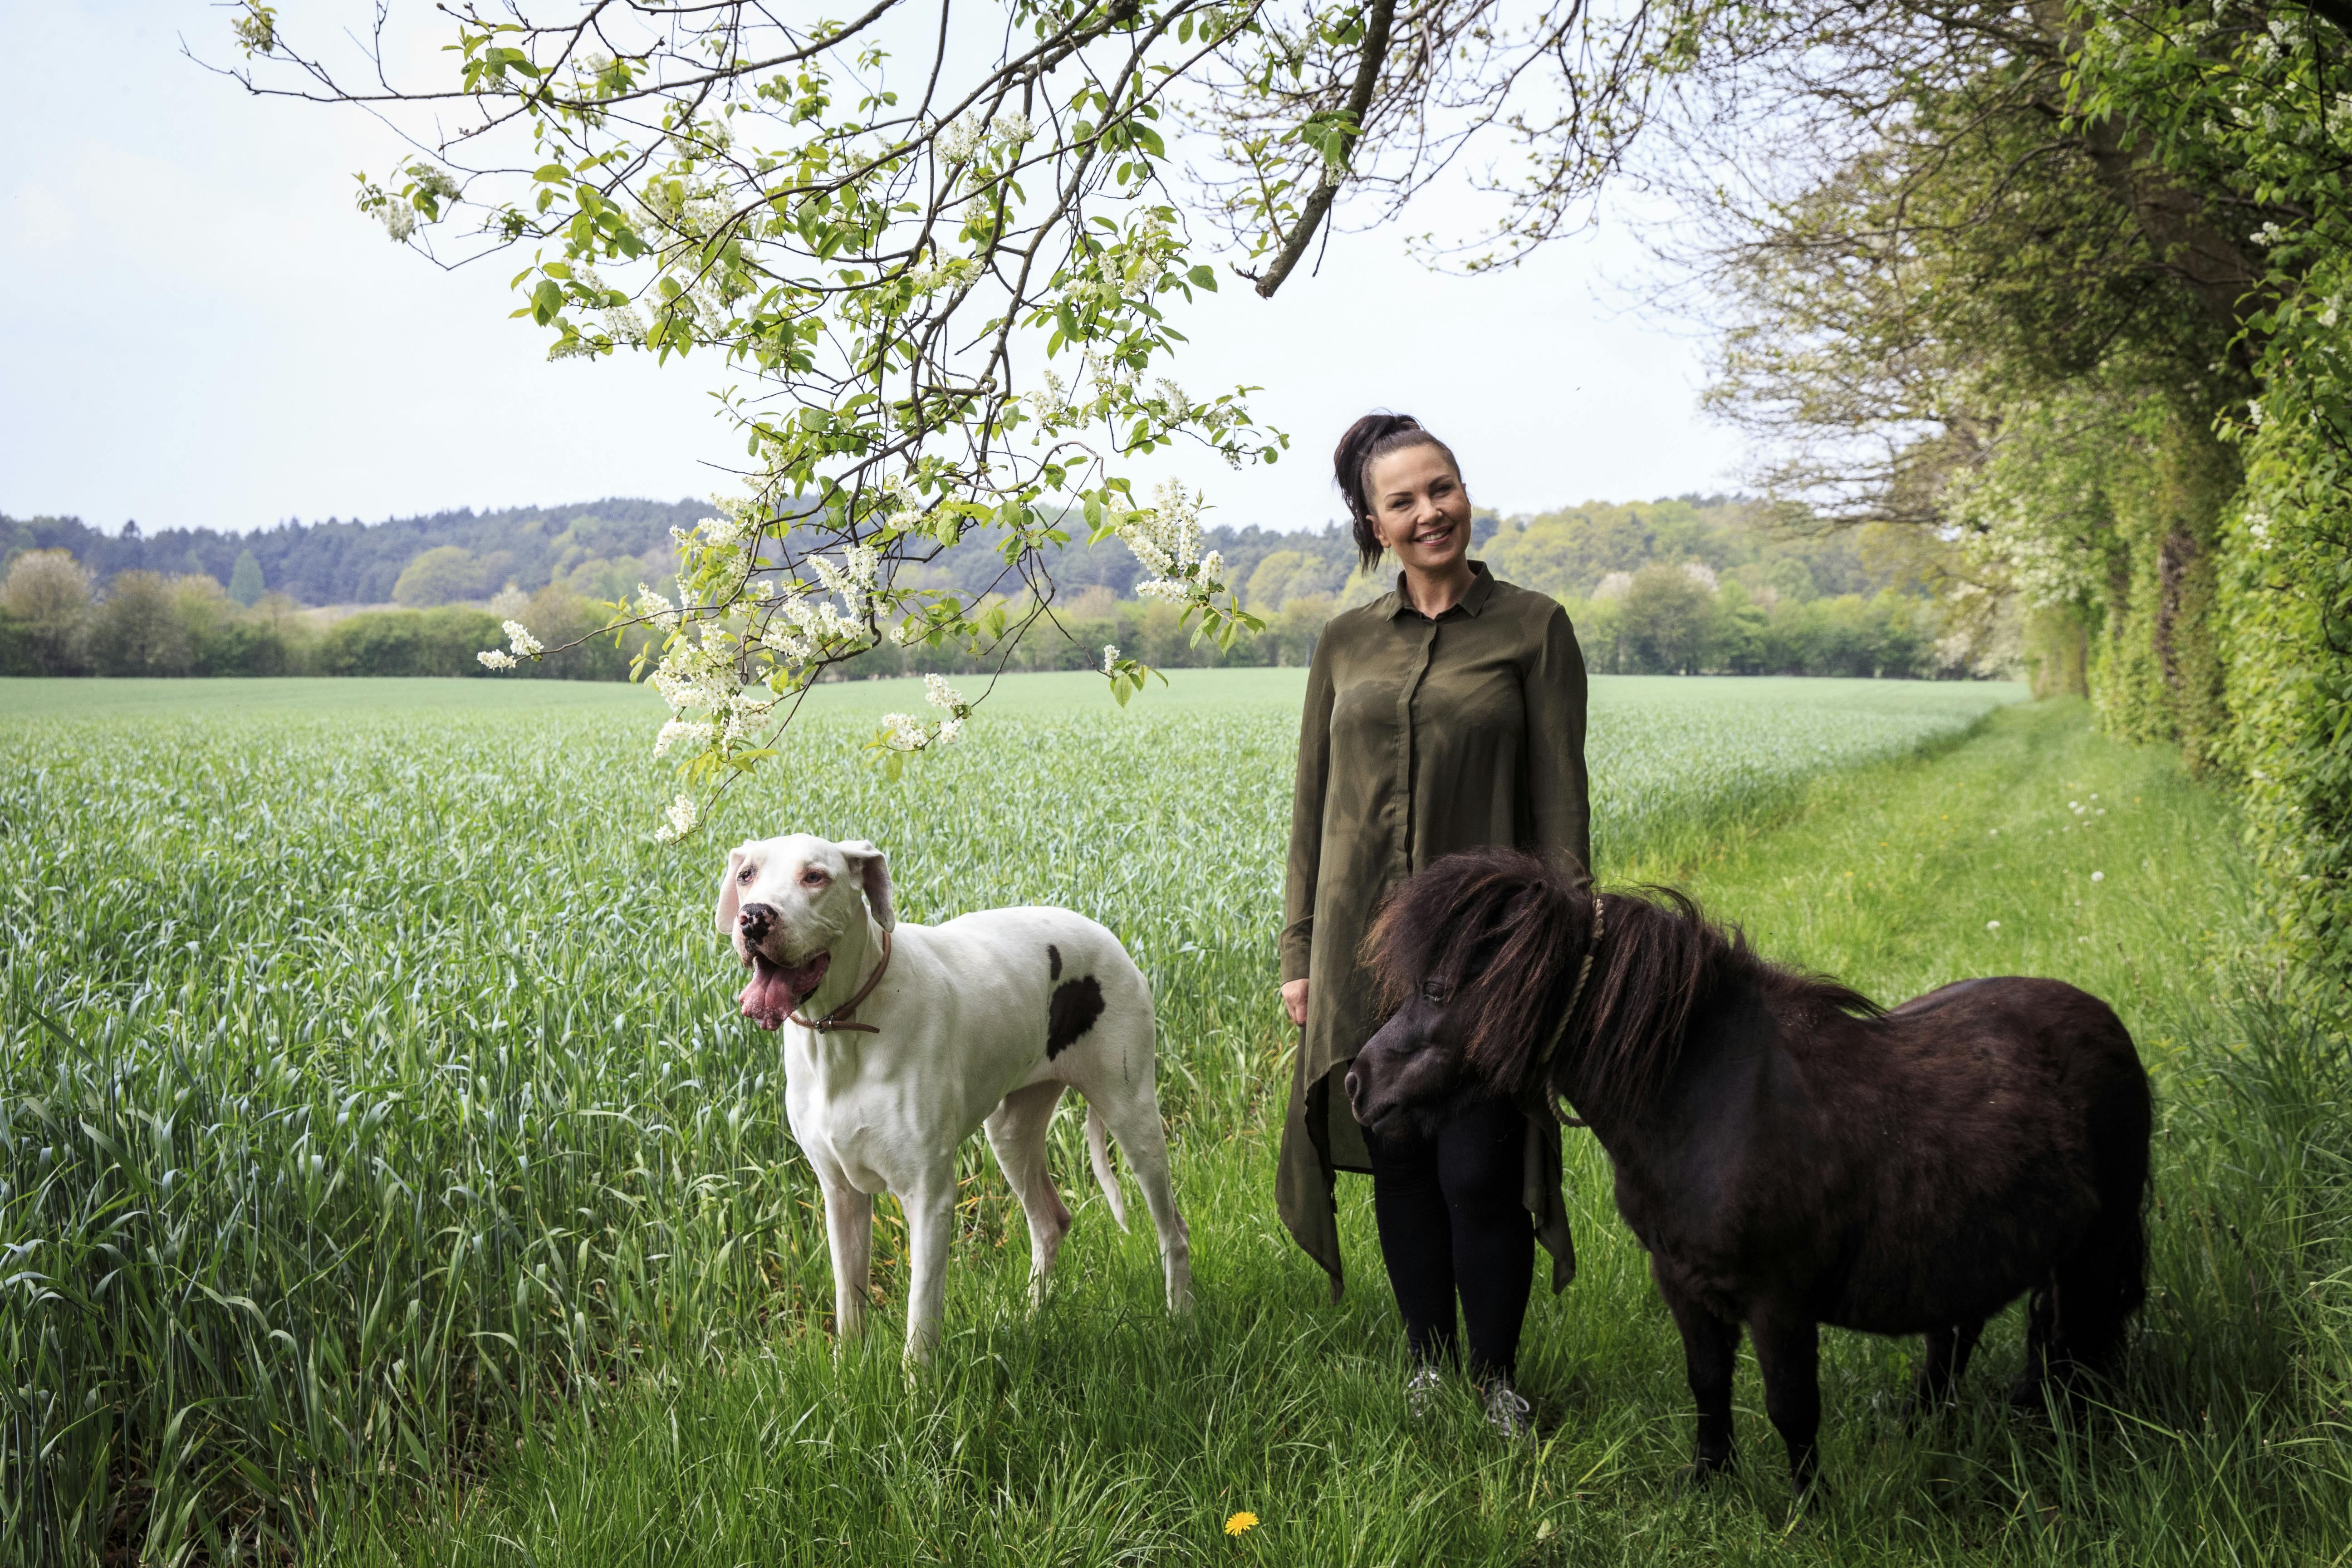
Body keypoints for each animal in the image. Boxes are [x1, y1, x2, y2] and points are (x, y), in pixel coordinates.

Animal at [715, 832, 1195, 1363]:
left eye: (815, 877)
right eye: (747, 875)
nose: (754, 917)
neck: (843, 1029)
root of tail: (1104, 932)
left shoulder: (929, 1197)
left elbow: (920, 1319)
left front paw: (918, 1384)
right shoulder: (840, 1194)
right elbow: (849, 1308)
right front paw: (849, 1374)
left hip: (1133, 1117)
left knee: (1173, 1230)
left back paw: (1178, 1321)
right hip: (1010, 1132)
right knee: (1050, 1223)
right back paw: (1030, 1320)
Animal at [1354, 851, 2154, 1495]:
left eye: (1437, 989)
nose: (1360, 1084)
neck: (1712, 1098)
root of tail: (2110, 1027)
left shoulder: (1780, 1299)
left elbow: (1791, 1407)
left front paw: (1807, 1508)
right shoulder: (1683, 1282)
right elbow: (1709, 1384)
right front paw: (1709, 1483)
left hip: (2093, 1252)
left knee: (2073, 1350)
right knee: (1965, 1340)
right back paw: (1929, 1427)